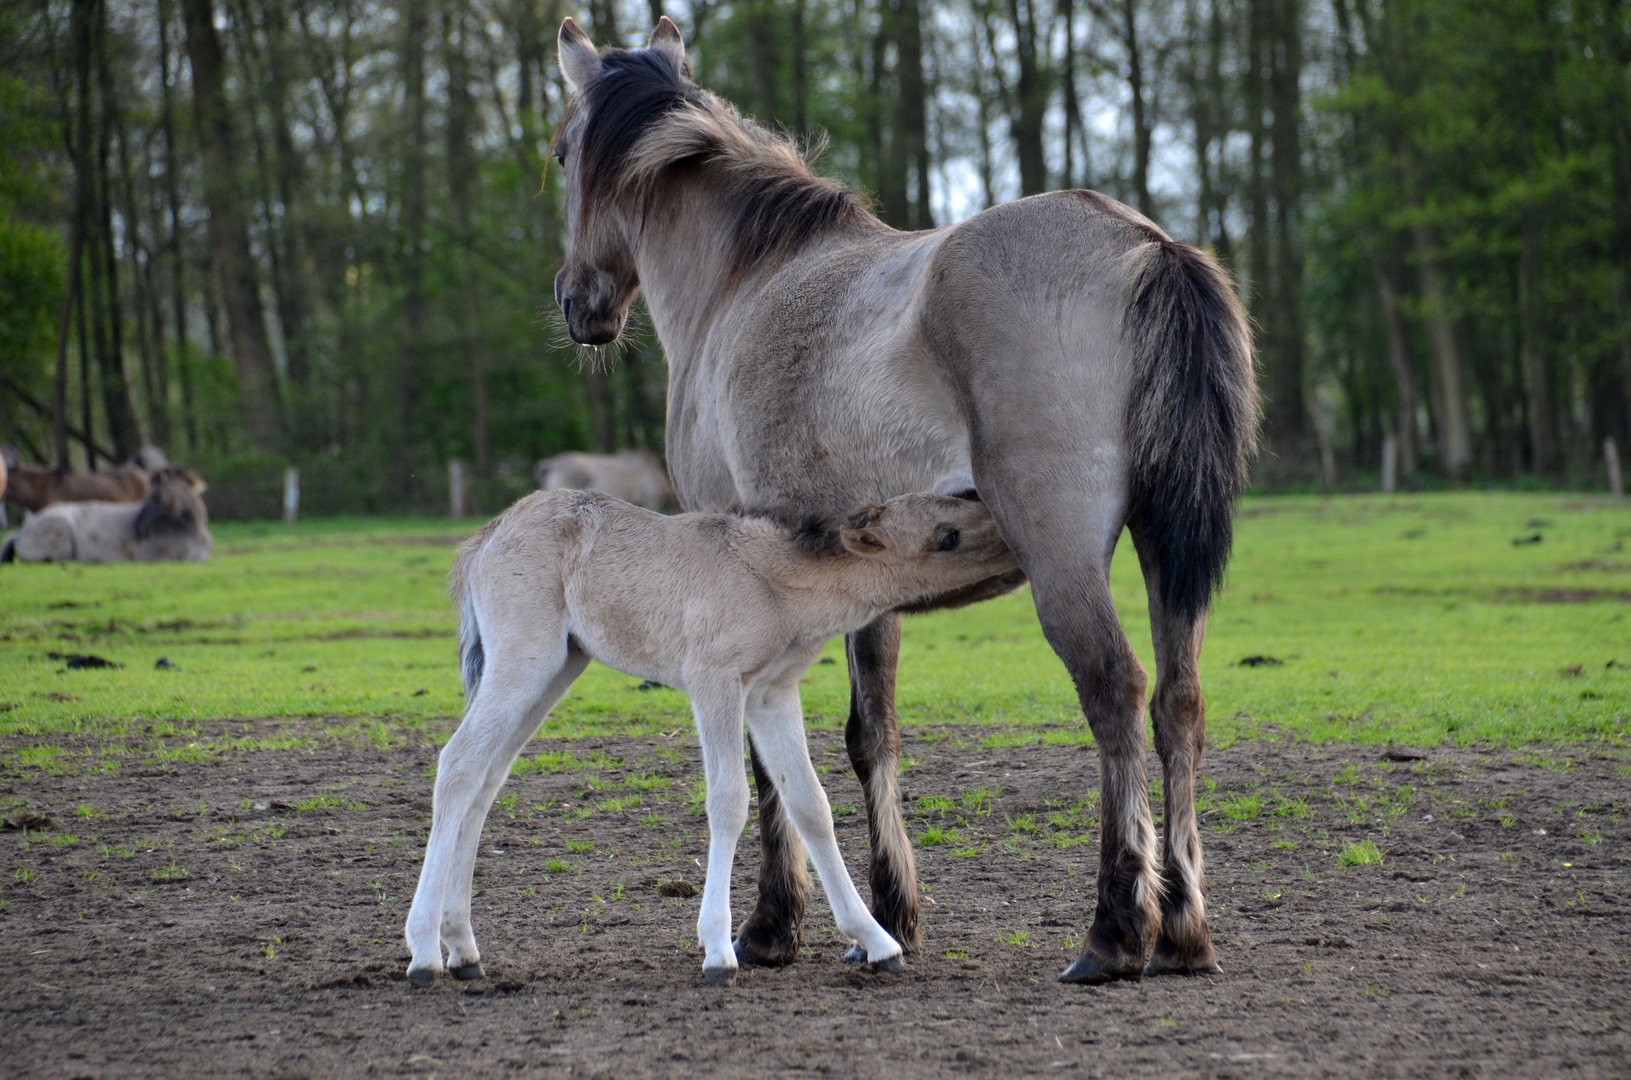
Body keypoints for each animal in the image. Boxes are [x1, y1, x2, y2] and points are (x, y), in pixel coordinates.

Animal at [0, 466, 213, 567]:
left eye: (154, 497)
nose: (140, 529)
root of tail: (19, 534)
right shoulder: (157, 557)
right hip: (61, 526)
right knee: (60, 559)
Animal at [404, 489, 1017, 991]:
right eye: (947, 536)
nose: (1010, 540)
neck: (775, 584)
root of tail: (484, 539)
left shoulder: (772, 695)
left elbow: (811, 805)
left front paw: (878, 943)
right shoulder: (714, 682)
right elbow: (729, 801)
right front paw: (720, 951)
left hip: (558, 666)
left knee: (486, 781)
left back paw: (463, 950)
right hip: (523, 661)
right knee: (458, 765)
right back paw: (425, 954)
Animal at [551, 16, 1259, 985]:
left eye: (558, 152)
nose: (576, 304)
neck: (745, 281)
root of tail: (1147, 245)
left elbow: (770, 764)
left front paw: (770, 928)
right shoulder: (861, 579)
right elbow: (869, 735)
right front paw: (889, 916)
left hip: (1063, 558)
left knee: (1114, 691)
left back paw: (1115, 931)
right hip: (1163, 552)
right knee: (1178, 707)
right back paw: (1184, 929)